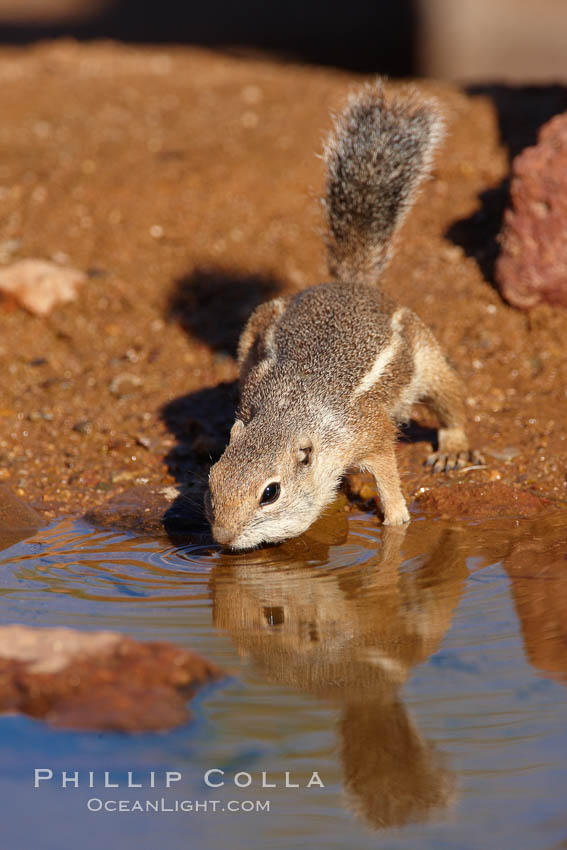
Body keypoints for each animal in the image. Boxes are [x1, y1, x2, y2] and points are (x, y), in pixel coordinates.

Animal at [204, 81, 480, 548]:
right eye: (212, 479)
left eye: (270, 493)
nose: (221, 537)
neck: (292, 411)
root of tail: (353, 283)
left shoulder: (371, 433)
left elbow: (388, 473)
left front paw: (397, 519)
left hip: (427, 357)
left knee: (450, 400)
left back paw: (453, 448)